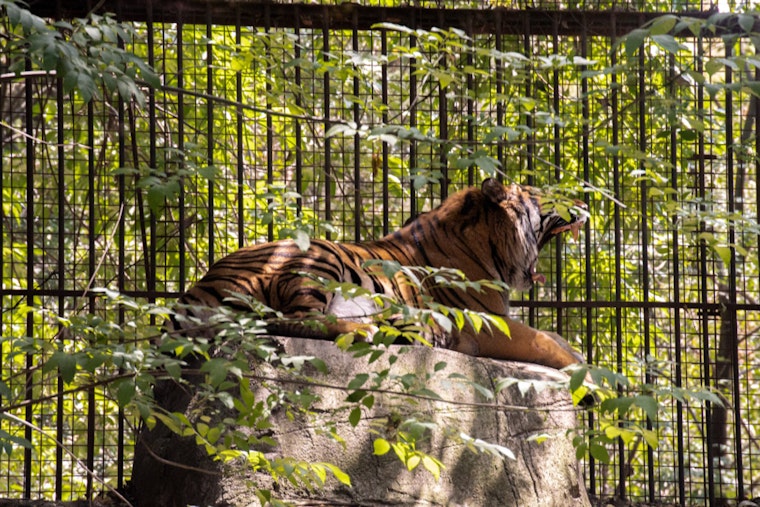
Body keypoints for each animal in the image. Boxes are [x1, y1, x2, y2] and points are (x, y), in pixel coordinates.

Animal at [168, 178, 587, 370]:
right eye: (548, 196)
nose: (585, 203)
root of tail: (195, 290)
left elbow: (556, 338)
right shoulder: (484, 322)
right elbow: (546, 343)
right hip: (317, 257)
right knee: (293, 320)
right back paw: (367, 330)